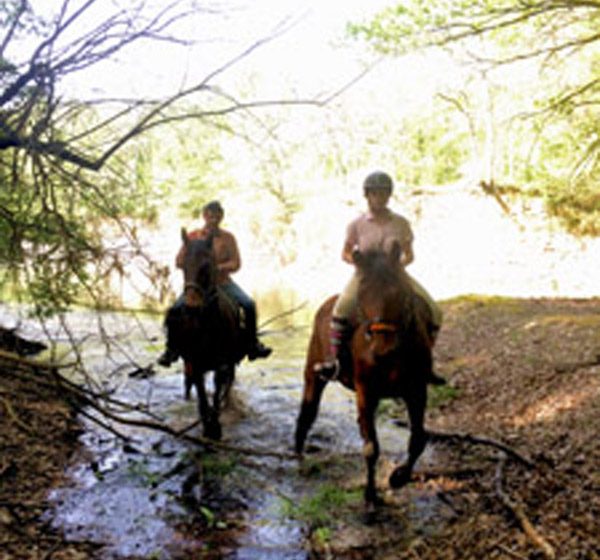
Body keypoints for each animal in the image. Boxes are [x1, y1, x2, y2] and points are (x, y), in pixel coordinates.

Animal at [164, 230, 246, 440]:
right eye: (183, 265)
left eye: (206, 265)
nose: (191, 307)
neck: (205, 324)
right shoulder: (195, 361)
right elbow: (201, 391)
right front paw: (207, 425)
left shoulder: (220, 362)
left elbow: (216, 389)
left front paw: (215, 427)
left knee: (227, 383)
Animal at [294, 243, 432, 506]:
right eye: (363, 292)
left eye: (398, 289)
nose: (382, 347)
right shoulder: (367, 391)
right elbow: (371, 448)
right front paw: (370, 497)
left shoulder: (417, 390)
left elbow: (418, 438)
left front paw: (398, 477)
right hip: (313, 374)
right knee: (308, 411)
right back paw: (297, 451)